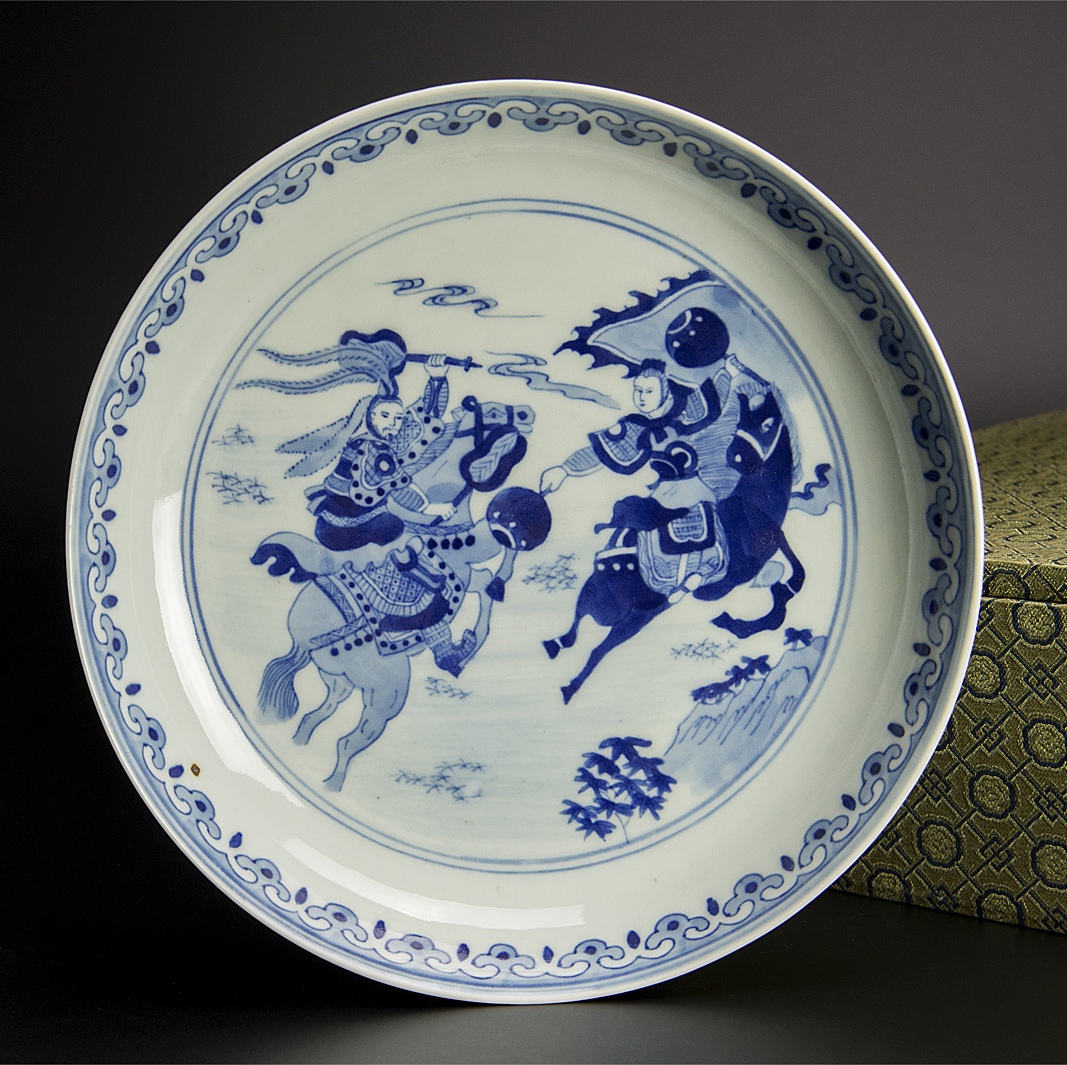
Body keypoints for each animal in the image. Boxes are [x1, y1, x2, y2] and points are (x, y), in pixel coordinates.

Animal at [252, 395, 549, 790]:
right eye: (493, 411)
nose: (528, 413)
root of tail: (305, 639)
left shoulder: (464, 575)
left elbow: (486, 585)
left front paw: (475, 634)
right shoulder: (465, 557)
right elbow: (496, 553)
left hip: (339, 681)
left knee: (323, 710)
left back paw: (301, 741)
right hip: (387, 692)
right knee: (347, 742)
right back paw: (332, 783)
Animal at [545, 390, 806, 704]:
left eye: (767, 425)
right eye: (743, 420)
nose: (735, 455)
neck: (756, 504)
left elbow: (786, 585)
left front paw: (735, 620)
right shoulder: (751, 561)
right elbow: (787, 582)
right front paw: (735, 620)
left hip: (621, 603)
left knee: (583, 619)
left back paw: (558, 650)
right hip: (634, 612)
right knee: (595, 642)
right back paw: (568, 682)